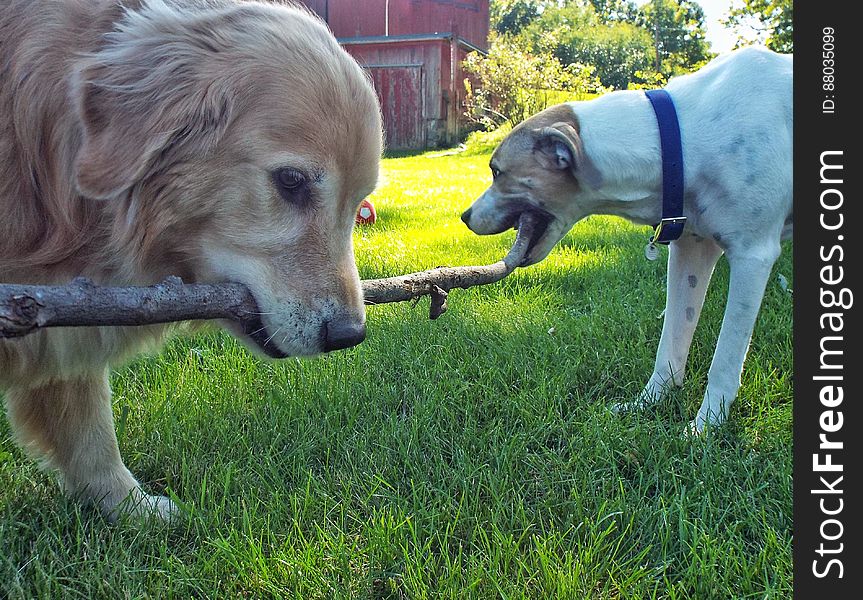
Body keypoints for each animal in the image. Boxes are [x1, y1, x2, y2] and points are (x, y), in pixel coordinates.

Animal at [462, 47, 792, 432]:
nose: (464, 216)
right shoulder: (692, 248)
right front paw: (647, 404)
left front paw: (704, 428)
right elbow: (671, 341)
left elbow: (725, 359)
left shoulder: (752, 257)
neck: (681, 137)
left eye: (497, 171)